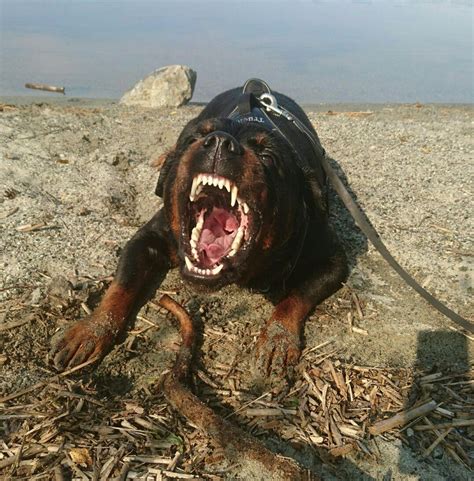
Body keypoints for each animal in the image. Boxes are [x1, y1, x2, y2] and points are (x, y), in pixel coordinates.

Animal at [51, 79, 348, 386]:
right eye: (195, 139)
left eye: (268, 155)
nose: (220, 142)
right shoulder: (147, 239)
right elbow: (121, 285)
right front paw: (92, 329)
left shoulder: (332, 260)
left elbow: (295, 297)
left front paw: (278, 338)